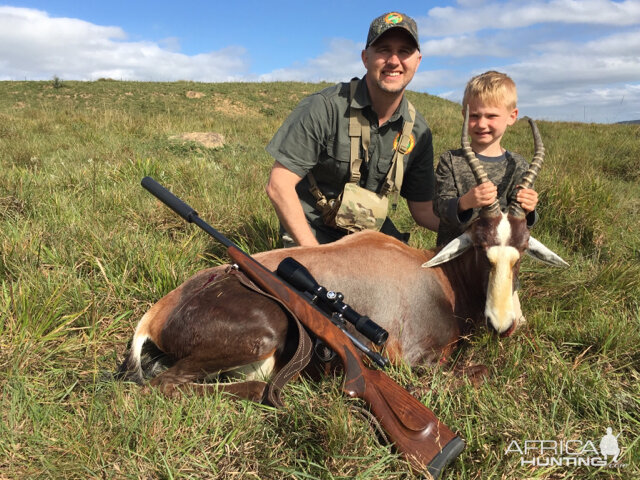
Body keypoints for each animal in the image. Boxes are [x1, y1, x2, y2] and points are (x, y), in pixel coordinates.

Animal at [117, 112, 568, 398]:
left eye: (522, 250)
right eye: (480, 247)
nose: (504, 324)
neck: (436, 276)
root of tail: (158, 312)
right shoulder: (416, 361)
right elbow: (479, 371)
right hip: (269, 330)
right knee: (170, 385)